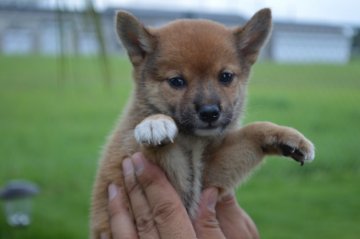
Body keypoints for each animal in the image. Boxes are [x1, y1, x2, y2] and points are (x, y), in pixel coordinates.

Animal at [90, 8, 316, 238]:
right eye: (176, 81)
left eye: (225, 76)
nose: (209, 113)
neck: (193, 142)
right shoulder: (135, 160)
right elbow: (151, 142)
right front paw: (155, 123)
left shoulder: (211, 174)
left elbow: (253, 130)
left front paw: (289, 137)